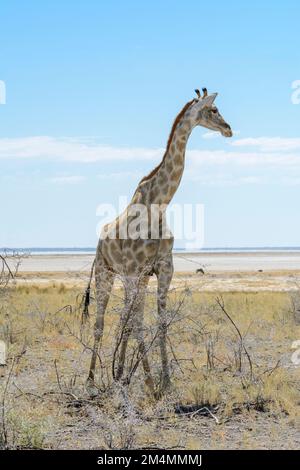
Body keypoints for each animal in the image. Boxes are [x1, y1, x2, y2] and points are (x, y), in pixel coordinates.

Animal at [85, 87, 233, 396]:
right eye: (214, 110)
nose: (229, 129)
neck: (159, 204)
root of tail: (100, 241)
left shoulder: (163, 268)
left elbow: (160, 321)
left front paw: (165, 380)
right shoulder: (135, 270)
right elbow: (139, 322)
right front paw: (151, 383)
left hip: (131, 278)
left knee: (124, 318)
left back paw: (119, 374)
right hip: (106, 273)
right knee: (101, 322)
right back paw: (91, 380)